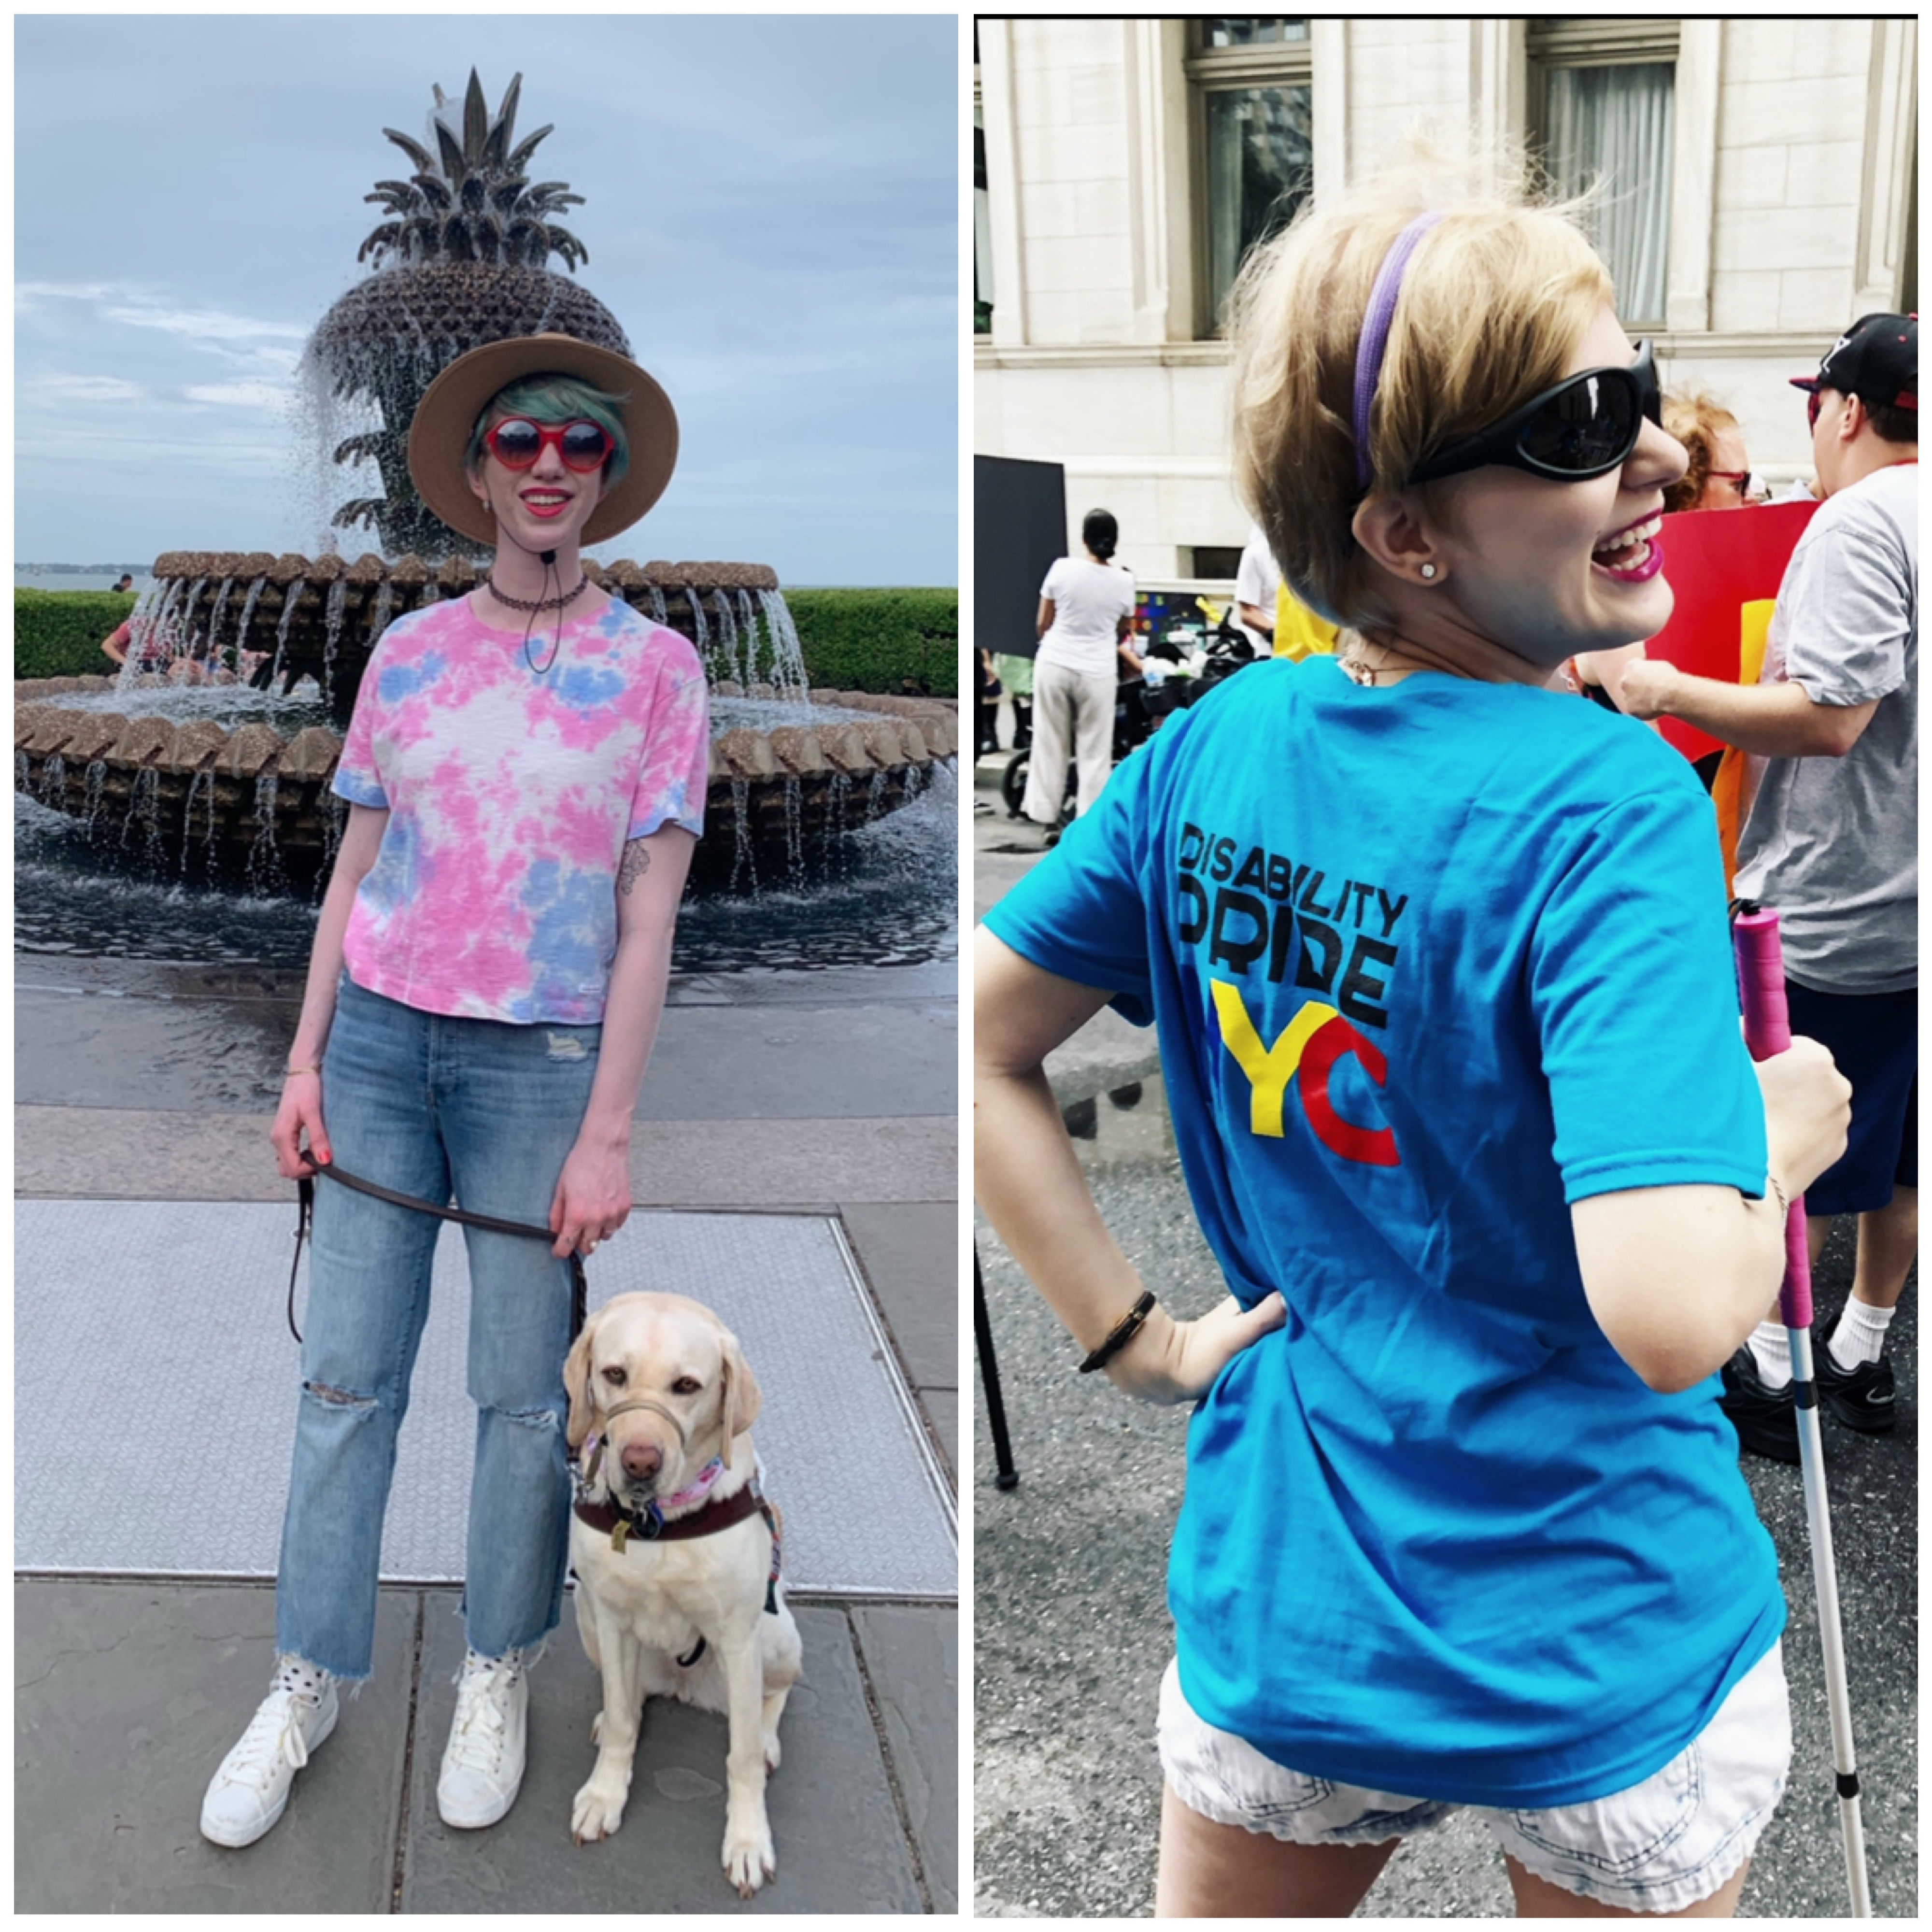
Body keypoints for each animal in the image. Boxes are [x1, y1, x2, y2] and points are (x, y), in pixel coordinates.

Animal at [564, 1291, 804, 1893]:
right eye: (614, 1374)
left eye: (688, 1385)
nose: (639, 1462)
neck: (657, 1522)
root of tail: (684, 1686)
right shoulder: (610, 1616)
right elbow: (622, 1721)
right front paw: (605, 1795)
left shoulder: (740, 1637)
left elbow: (741, 1757)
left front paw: (747, 1842)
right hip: (585, 1616)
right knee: (626, 1698)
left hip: (776, 1634)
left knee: (772, 1701)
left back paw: (769, 1739)